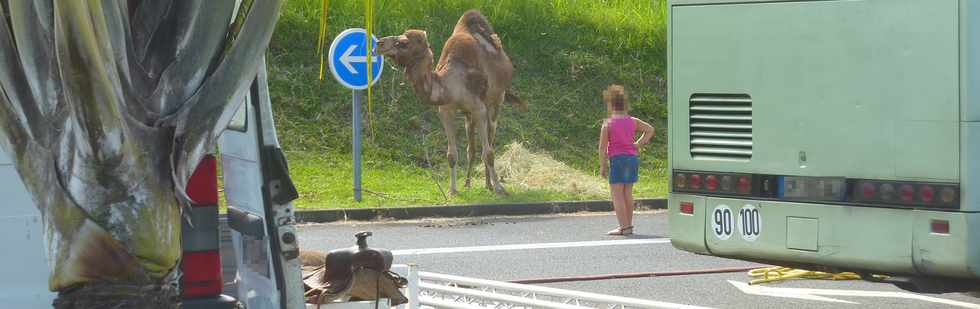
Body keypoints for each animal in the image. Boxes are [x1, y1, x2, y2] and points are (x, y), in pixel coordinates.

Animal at [378, 9, 528, 195]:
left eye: (403, 42)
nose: (379, 43)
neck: (450, 83)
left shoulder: (478, 108)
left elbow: (489, 153)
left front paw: (501, 189)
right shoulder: (446, 110)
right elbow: (451, 155)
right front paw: (452, 190)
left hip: (496, 102)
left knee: (490, 140)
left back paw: (490, 184)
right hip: (468, 115)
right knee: (472, 148)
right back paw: (473, 183)